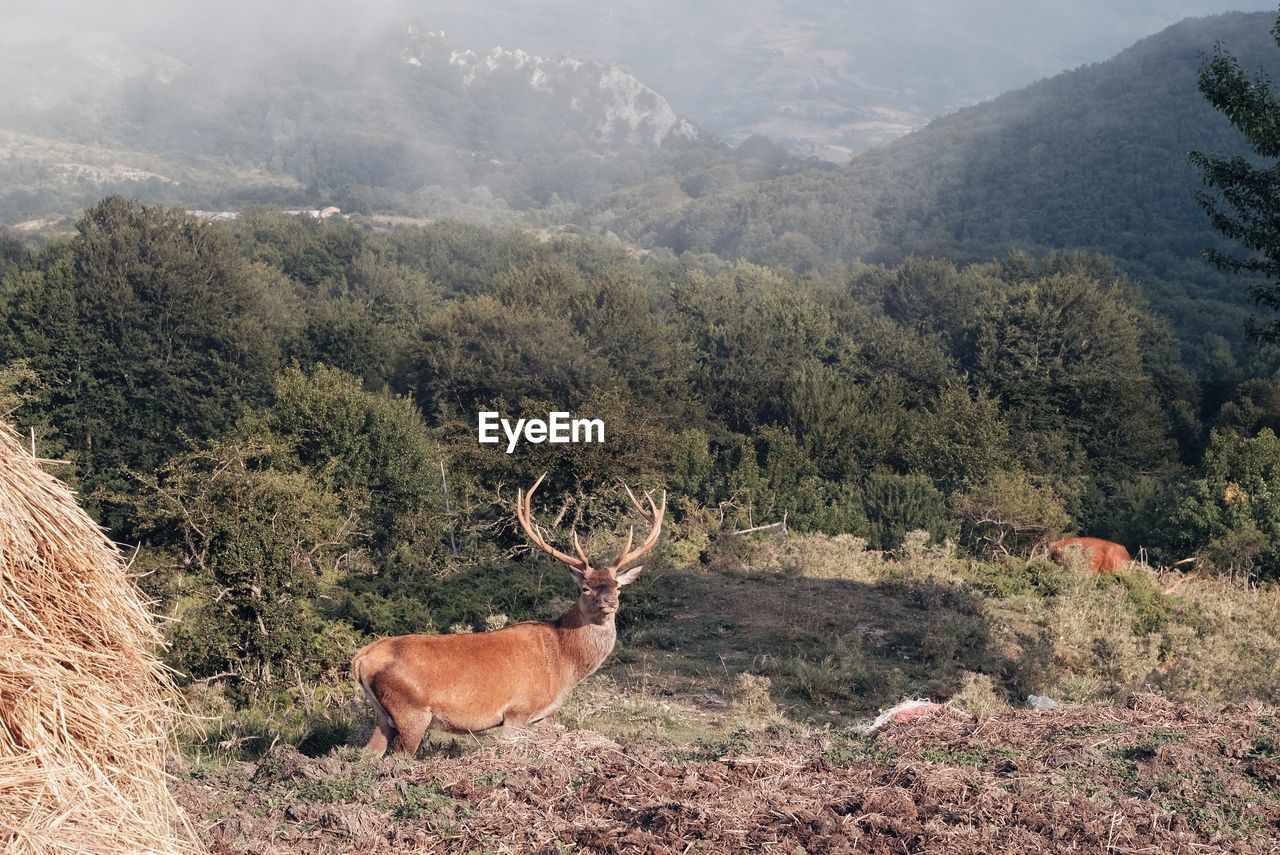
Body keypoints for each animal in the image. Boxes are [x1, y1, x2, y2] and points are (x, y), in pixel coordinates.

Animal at [353, 473, 665, 752]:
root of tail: (362, 658)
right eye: (585, 588)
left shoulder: (542, 716)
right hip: (411, 711)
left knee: (368, 755)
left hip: (382, 715)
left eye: (617, 586)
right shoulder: (517, 711)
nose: (609, 601)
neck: (563, 662)